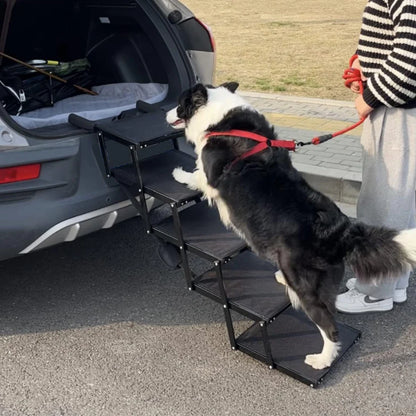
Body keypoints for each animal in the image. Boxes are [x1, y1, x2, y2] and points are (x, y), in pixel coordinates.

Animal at [166, 83, 416, 368]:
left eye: (179, 104)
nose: (165, 113)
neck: (222, 120)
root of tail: (341, 231)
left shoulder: (210, 176)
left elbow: (196, 174)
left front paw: (178, 173)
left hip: (305, 284)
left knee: (329, 327)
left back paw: (322, 360)